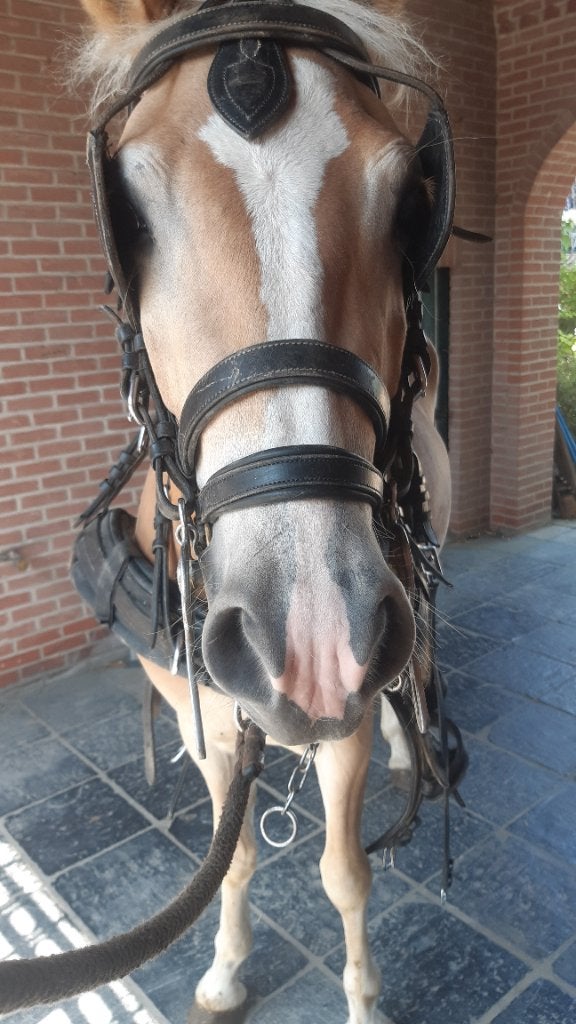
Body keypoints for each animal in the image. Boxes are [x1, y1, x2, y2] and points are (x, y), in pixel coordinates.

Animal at [69, 1, 456, 1021]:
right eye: (128, 209)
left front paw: (362, 999)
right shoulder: (200, 710)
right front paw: (224, 968)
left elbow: (344, 874)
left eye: (408, 202)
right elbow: (233, 854)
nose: (312, 637)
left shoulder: (347, 700)